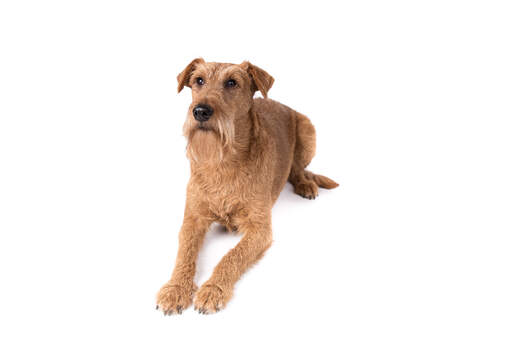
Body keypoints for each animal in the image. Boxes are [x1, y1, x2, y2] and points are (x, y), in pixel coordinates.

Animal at [156, 58, 340, 314]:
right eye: (198, 80)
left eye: (232, 82)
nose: (200, 111)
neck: (223, 162)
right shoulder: (193, 218)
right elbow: (185, 254)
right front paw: (175, 289)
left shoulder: (259, 228)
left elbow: (232, 256)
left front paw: (213, 290)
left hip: (307, 129)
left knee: (298, 170)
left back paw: (306, 185)